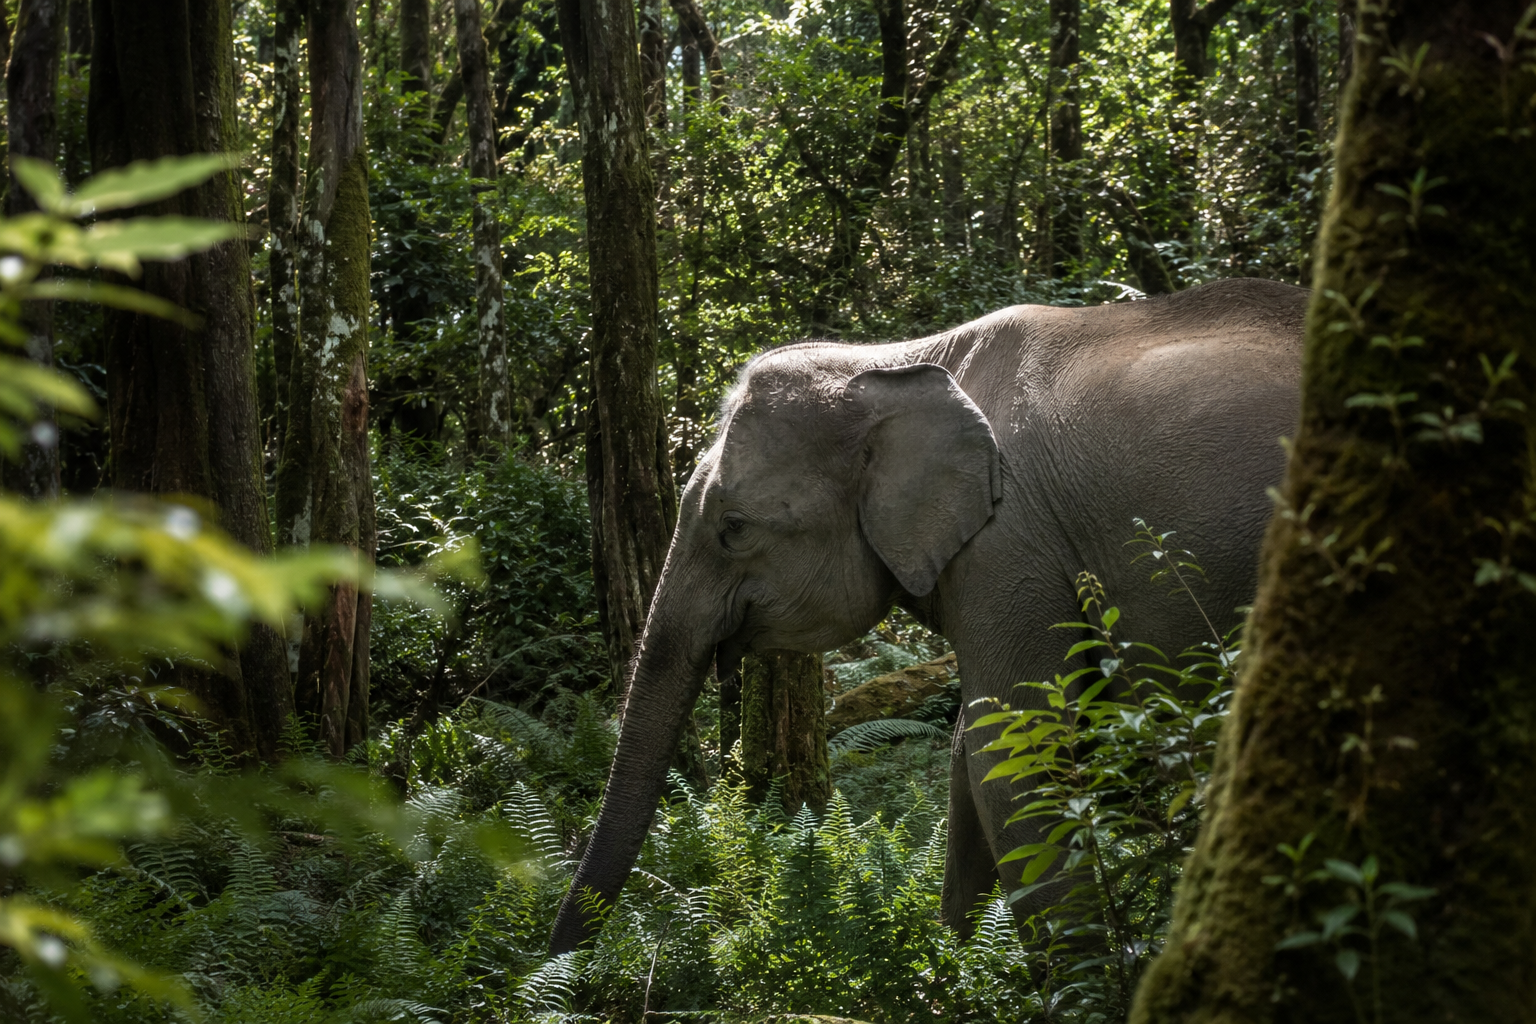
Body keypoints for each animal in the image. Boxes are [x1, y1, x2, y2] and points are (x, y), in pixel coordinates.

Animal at [549, 277, 1306, 951]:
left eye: (733, 528)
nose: (561, 965)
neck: (894, 361)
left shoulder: (1009, 547)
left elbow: (1018, 753)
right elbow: (973, 752)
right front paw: (954, 974)